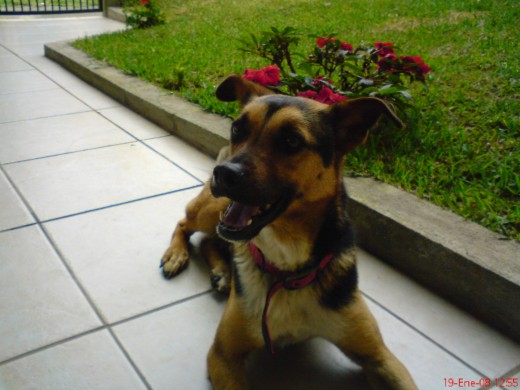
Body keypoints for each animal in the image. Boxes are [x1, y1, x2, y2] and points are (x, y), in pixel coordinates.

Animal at [160, 74, 416, 388]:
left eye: (292, 141)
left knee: (212, 241)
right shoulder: (223, 356)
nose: (223, 173)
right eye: (237, 128)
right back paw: (177, 255)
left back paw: (224, 272)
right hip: (212, 210)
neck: (286, 267)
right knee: (185, 224)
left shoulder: (380, 356)